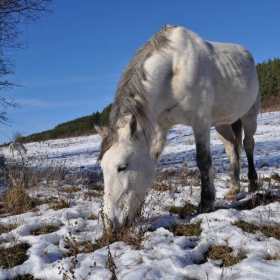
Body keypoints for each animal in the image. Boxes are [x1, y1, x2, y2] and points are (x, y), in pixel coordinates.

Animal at [94, 24, 260, 230]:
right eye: (102, 167)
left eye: (122, 167)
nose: (110, 223)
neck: (173, 68)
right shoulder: (160, 127)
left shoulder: (200, 121)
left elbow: (203, 160)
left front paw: (205, 204)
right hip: (222, 123)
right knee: (232, 149)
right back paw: (233, 189)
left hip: (250, 115)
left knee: (248, 145)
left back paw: (253, 184)